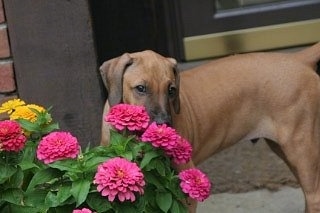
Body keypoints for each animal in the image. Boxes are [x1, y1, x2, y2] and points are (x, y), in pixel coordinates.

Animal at [101, 42, 320, 213]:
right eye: (141, 88)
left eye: (171, 90)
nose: (164, 124)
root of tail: (297, 59)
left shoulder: (185, 184)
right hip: (285, 149)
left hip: (301, 148)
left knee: (313, 195)